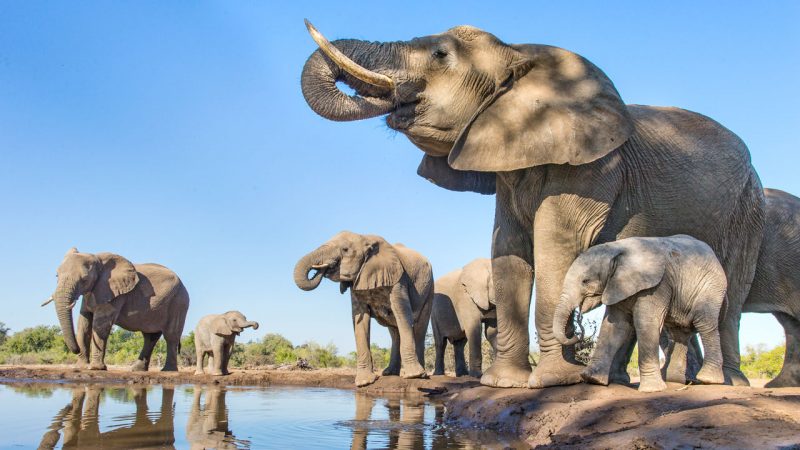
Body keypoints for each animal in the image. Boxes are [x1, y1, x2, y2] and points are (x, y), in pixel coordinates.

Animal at [44, 248, 190, 371]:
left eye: (84, 279)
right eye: (56, 276)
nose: (76, 350)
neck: (98, 260)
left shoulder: (114, 294)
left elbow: (100, 325)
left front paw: (96, 368)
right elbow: (83, 324)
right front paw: (80, 367)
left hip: (179, 302)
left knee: (170, 336)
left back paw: (168, 370)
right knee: (149, 336)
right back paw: (136, 370)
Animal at [294, 231, 433, 386]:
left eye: (345, 250)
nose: (321, 269)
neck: (364, 237)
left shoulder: (398, 279)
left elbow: (403, 315)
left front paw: (414, 375)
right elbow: (360, 321)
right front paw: (364, 382)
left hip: (429, 289)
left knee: (419, 328)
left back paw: (422, 375)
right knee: (394, 330)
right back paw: (389, 373)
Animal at [553, 235, 727, 392]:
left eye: (585, 281)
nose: (577, 333)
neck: (618, 248)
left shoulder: (657, 286)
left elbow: (646, 322)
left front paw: (652, 390)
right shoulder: (618, 285)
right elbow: (615, 326)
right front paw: (592, 379)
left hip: (710, 288)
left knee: (705, 324)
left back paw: (708, 379)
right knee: (679, 333)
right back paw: (672, 380)